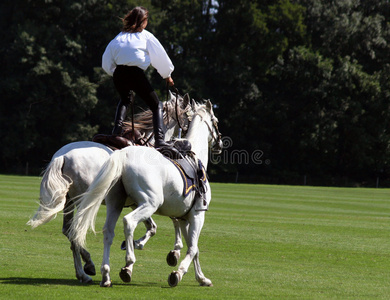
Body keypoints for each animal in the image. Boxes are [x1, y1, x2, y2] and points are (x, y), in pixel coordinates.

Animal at [26, 94, 193, 284]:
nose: (186, 143)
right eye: (189, 118)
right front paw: (162, 251)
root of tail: (62, 157)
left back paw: (84, 271)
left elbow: (158, 224)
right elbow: (159, 224)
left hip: (69, 201)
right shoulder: (145, 200)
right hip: (82, 200)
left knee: (69, 230)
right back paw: (89, 265)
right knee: (76, 230)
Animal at [68, 99, 221, 288]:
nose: (220, 144)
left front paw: (201, 278)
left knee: (106, 231)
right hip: (149, 203)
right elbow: (192, 248)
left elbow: (194, 248)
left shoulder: (184, 217)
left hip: (115, 203)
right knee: (128, 222)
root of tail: (123, 154)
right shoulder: (198, 215)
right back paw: (126, 262)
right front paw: (177, 273)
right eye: (216, 121)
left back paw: (105, 274)